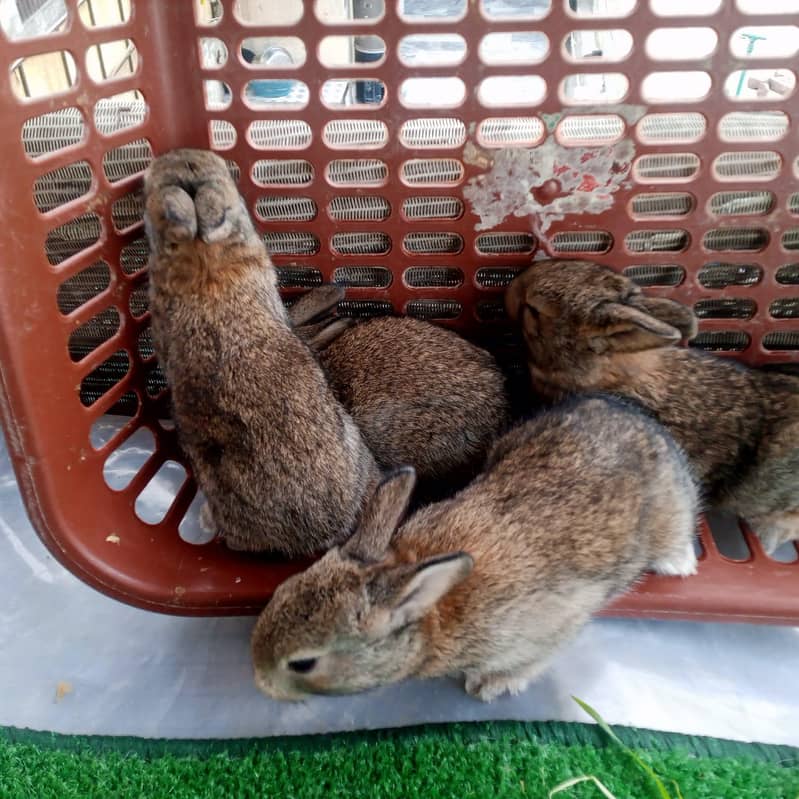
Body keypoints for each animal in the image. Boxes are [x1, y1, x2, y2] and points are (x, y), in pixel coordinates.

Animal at [251, 395, 699, 702]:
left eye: (303, 663)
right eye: (280, 592)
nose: (258, 678)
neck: (430, 616)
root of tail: (637, 417)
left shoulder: (552, 625)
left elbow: (537, 658)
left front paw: (490, 686)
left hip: (673, 510)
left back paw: (678, 564)